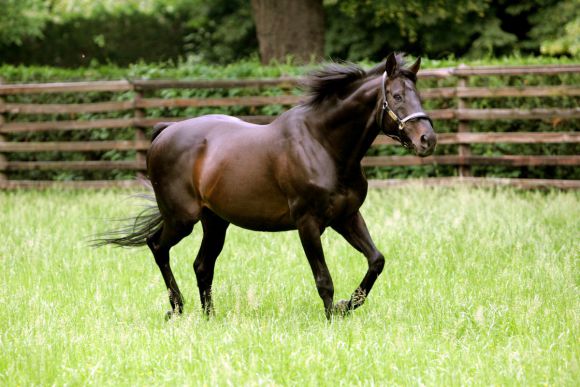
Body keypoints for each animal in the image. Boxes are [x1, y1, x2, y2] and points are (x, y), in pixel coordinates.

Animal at [97, 53, 438, 322]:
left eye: (418, 96)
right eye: (396, 97)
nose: (427, 140)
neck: (323, 144)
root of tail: (165, 132)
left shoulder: (347, 217)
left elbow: (376, 260)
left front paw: (346, 306)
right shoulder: (308, 223)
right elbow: (323, 278)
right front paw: (332, 317)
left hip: (215, 222)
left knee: (202, 265)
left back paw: (210, 317)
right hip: (182, 219)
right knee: (157, 246)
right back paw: (177, 308)